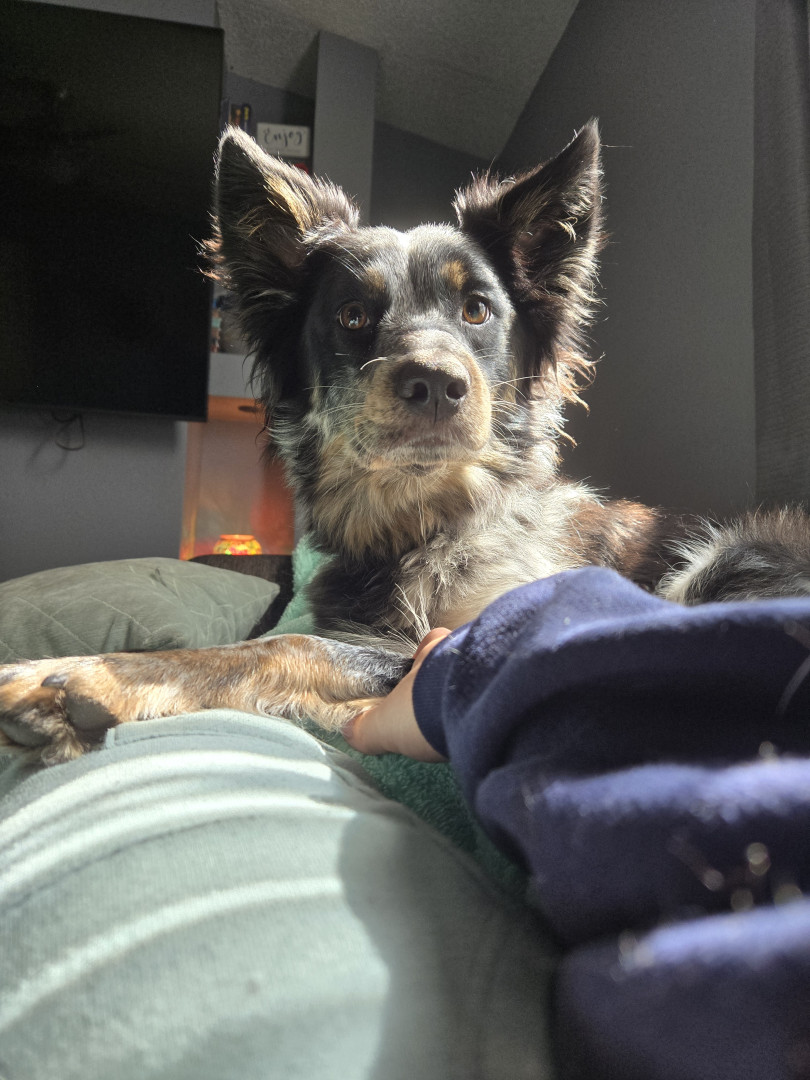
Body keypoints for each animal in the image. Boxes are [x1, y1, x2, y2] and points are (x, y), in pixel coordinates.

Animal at [2, 120, 810, 764]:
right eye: (354, 316)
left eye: (477, 310)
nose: (437, 383)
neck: (421, 522)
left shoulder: (515, 623)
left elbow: (284, 645)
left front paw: (91, 675)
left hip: (729, 556)